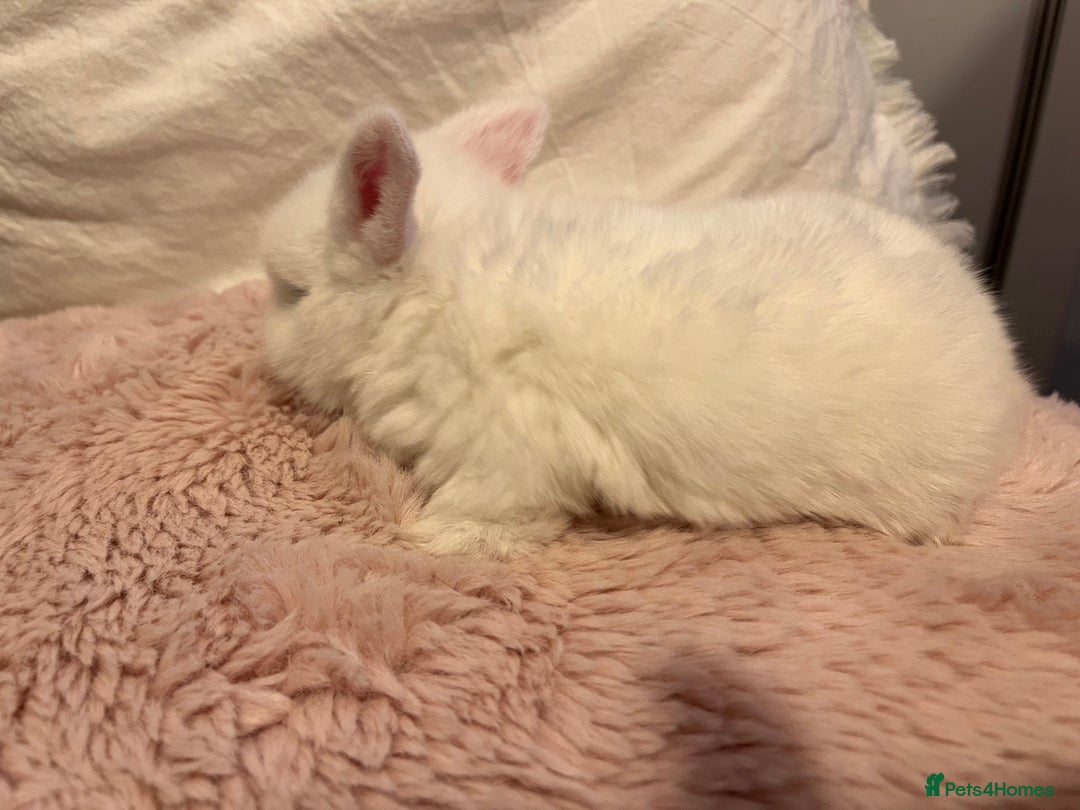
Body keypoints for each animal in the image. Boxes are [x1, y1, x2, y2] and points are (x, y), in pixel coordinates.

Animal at [260, 96, 1032, 560]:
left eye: (290, 293)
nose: (256, 350)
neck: (433, 292)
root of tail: (1006, 366)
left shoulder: (507, 463)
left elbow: (491, 518)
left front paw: (428, 540)